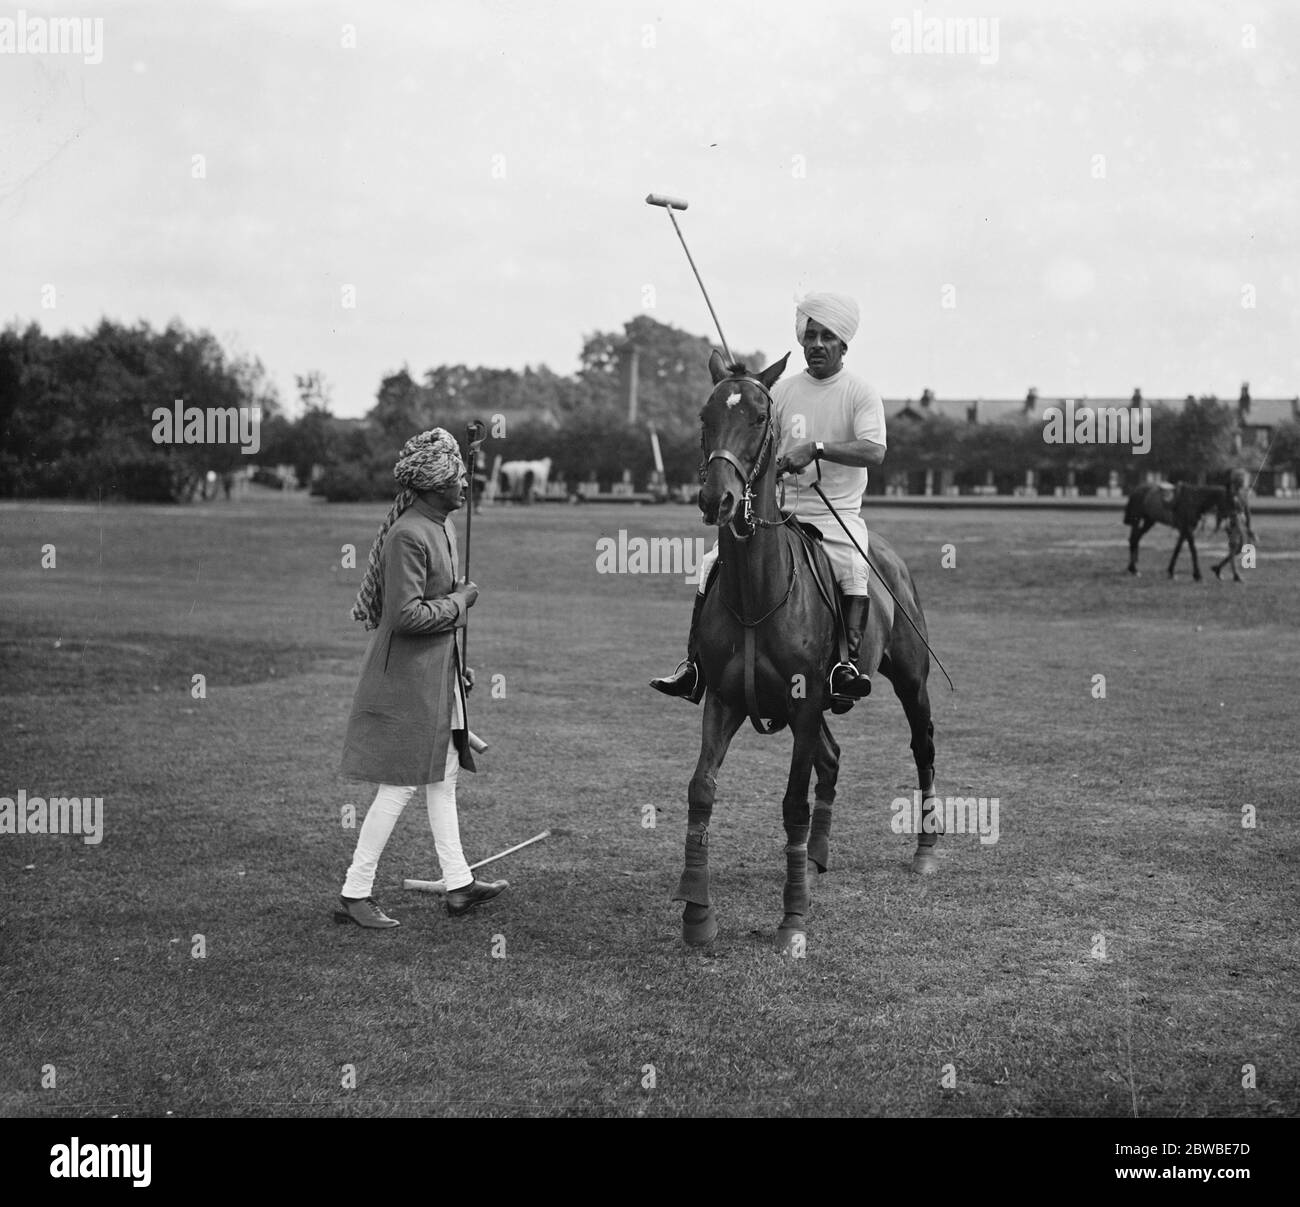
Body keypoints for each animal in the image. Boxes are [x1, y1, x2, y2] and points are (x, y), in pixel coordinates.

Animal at [670, 348, 946, 952]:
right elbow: (701, 788)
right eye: (704, 416)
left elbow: (792, 802)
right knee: (834, 757)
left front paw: (793, 918)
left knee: (923, 747)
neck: (757, 592)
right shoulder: (723, 701)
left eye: (759, 417)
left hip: (909, 680)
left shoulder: (802, 700)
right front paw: (697, 910)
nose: (717, 499)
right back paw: (817, 856)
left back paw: (925, 850)